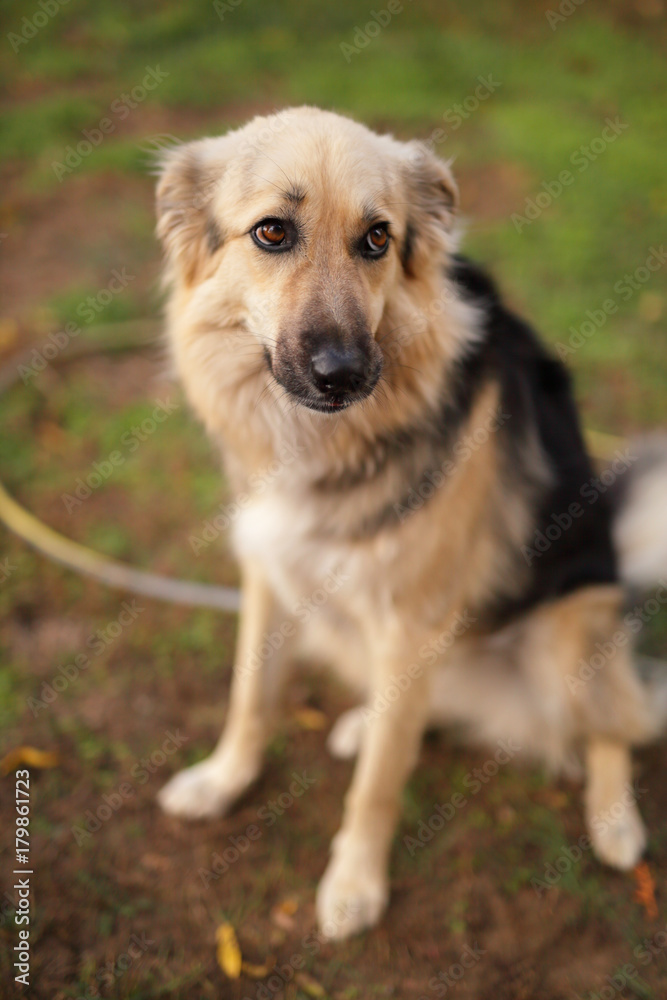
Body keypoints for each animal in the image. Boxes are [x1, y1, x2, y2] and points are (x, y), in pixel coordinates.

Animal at [154, 105, 667, 940]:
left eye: (376, 239)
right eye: (271, 232)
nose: (342, 375)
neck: (327, 442)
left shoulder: (411, 620)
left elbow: (376, 786)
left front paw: (354, 884)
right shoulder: (271, 574)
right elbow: (250, 698)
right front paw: (222, 781)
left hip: (564, 634)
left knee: (614, 723)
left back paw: (614, 818)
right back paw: (369, 721)